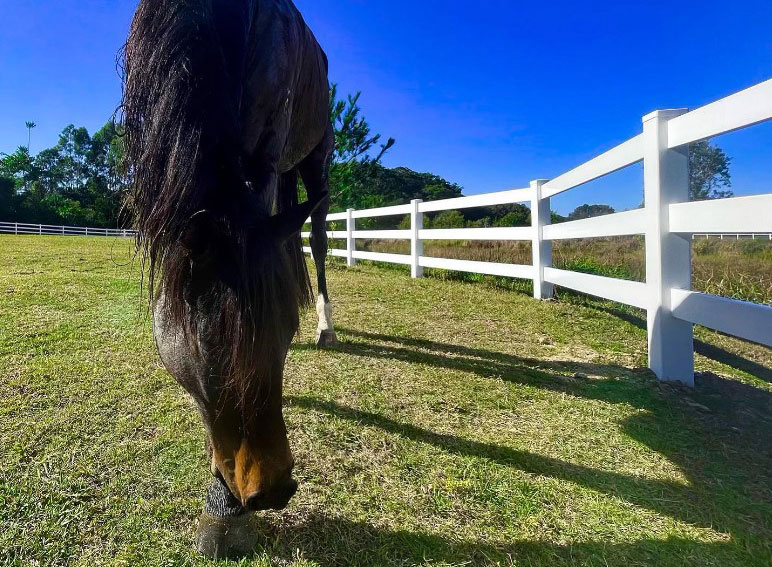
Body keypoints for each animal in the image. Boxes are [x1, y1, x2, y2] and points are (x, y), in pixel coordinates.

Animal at [121, 0, 334, 560]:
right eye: (207, 341)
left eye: (284, 331)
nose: (274, 488)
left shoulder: (269, 146)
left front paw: (224, 513)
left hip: (317, 155)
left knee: (318, 235)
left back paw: (326, 325)